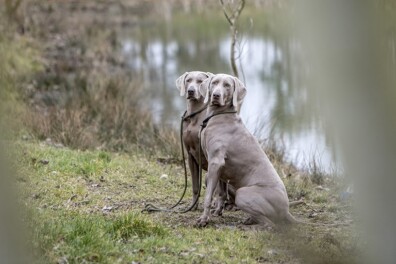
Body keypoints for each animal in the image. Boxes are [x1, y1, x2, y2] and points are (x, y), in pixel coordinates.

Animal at [176, 71, 235, 212]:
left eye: (200, 81)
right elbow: (195, 186)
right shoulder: (190, 156)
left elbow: (216, 189)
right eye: (188, 80)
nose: (191, 91)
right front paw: (193, 205)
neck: (194, 116)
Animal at [196, 72, 298, 227]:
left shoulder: (215, 162)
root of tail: (286, 210)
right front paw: (217, 211)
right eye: (214, 83)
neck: (219, 115)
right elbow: (221, 192)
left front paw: (204, 219)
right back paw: (250, 219)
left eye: (227, 85)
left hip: (242, 194)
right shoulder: (220, 168)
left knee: (272, 224)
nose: (216, 95)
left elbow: (208, 196)